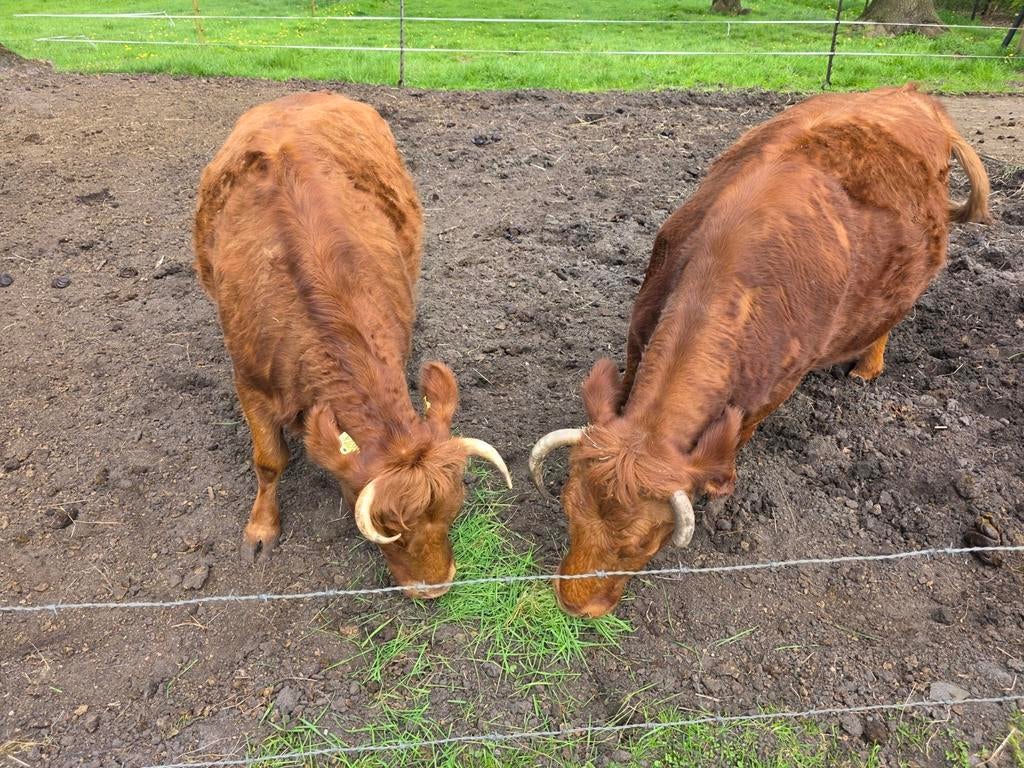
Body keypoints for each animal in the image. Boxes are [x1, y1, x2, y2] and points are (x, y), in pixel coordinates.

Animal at [194, 91, 511, 599]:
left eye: (453, 510)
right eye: (387, 530)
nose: (435, 588)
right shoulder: (249, 382)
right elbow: (269, 461)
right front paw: (261, 528)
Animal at [530, 84, 990, 618]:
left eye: (642, 545)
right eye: (569, 508)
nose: (574, 605)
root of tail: (915, 95)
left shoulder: (768, 393)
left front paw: (721, 486)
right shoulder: (638, 340)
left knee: (887, 320)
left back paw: (867, 368)